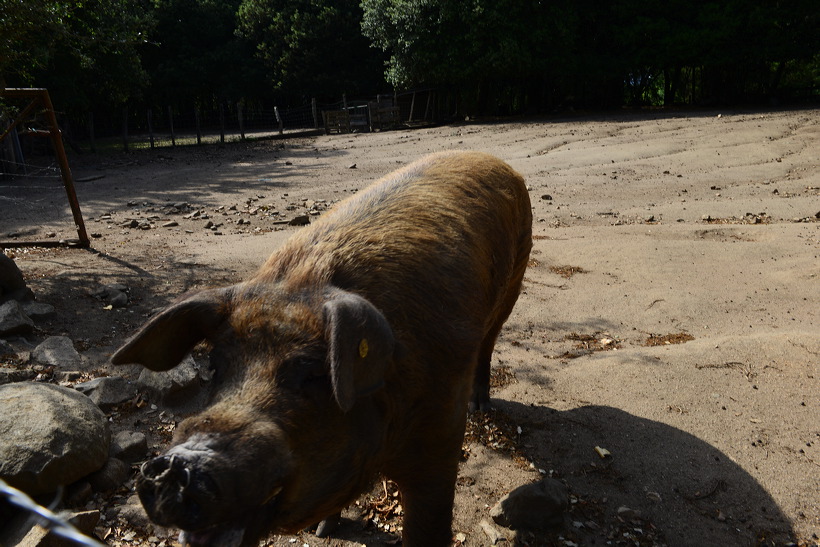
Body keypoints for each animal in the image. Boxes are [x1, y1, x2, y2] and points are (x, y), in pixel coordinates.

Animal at [110, 151, 532, 547]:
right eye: (214, 367)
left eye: (313, 375)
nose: (171, 466)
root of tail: (492, 159)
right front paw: (323, 530)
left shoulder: (440, 441)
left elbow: (428, 526)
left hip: (514, 280)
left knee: (489, 343)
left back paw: (481, 406)